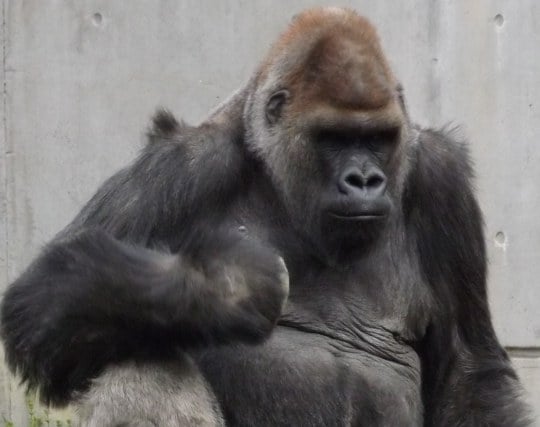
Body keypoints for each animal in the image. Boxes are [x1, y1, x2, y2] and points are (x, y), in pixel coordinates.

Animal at [0, 6, 532, 427]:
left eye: (378, 137)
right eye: (333, 138)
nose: (364, 180)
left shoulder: (443, 181)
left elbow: (471, 374)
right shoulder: (183, 164)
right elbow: (40, 302)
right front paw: (226, 287)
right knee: (137, 351)